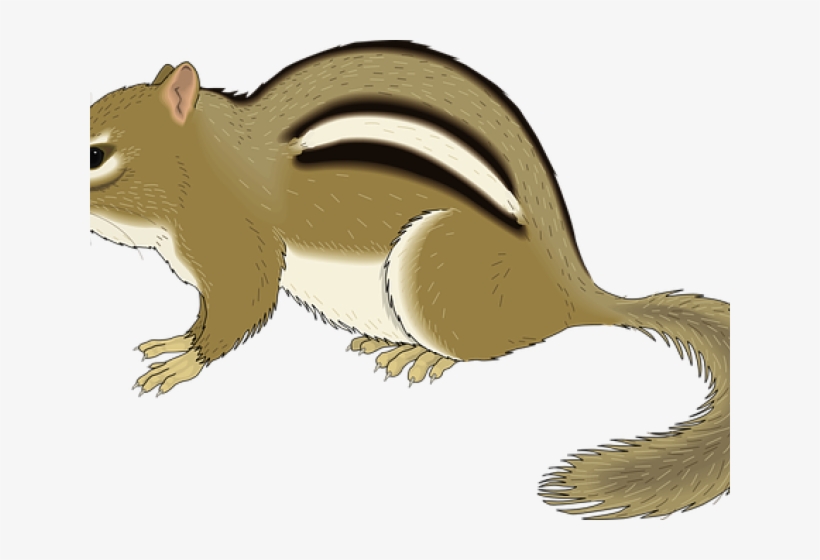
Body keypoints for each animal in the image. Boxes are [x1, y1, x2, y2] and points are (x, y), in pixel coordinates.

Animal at [90, 40, 729, 519]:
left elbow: (240, 308)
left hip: (436, 269)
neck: (205, 162)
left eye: (95, 155)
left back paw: (425, 356)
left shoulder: (237, 246)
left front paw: (184, 361)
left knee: (478, 349)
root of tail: (567, 292)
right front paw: (176, 342)